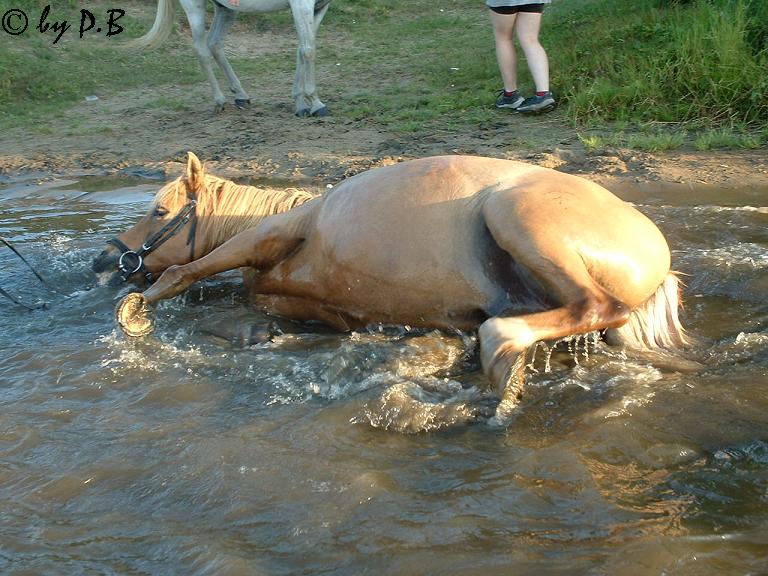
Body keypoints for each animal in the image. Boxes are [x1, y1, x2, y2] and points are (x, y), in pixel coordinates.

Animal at [93, 153, 688, 414]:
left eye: (159, 210)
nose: (103, 261)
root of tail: (657, 256)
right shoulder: (331, 309)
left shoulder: (269, 233)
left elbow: (186, 270)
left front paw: (135, 311)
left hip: (515, 214)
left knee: (594, 303)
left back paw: (502, 353)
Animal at [130, 0, 328, 117]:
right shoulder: (301, 4)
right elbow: (308, 51)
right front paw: (316, 104)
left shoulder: (318, 7)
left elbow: (302, 50)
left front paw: (301, 105)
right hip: (194, 6)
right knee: (201, 50)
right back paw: (220, 101)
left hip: (225, 8)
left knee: (215, 43)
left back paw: (241, 96)